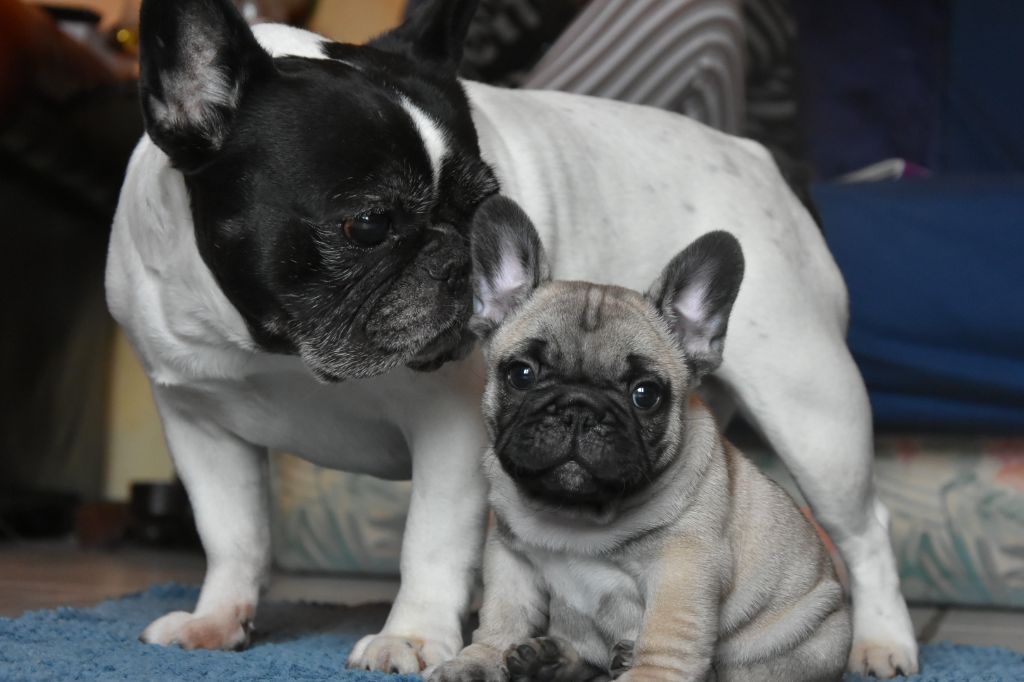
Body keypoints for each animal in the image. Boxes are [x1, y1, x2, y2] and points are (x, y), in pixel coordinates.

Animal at [105, 0, 913, 671]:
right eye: (367, 223)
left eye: (482, 205)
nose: (459, 258)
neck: (278, 354)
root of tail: (760, 157)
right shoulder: (199, 424)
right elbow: (232, 533)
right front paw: (218, 622)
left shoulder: (451, 426)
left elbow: (429, 543)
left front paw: (410, 637)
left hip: (813, 408)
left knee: (864, 530)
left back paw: (881, 643)